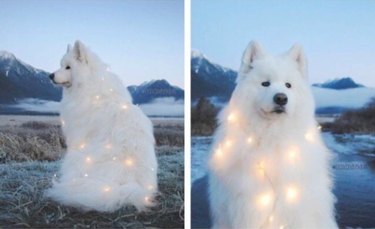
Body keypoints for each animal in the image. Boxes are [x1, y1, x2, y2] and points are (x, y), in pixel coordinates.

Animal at [46, 41, 158, 213]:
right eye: (61, 65)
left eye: (68, 67)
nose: (50, 75)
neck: (89, 85)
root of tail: (132, 184)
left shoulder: (78, 136)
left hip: (77, 158)